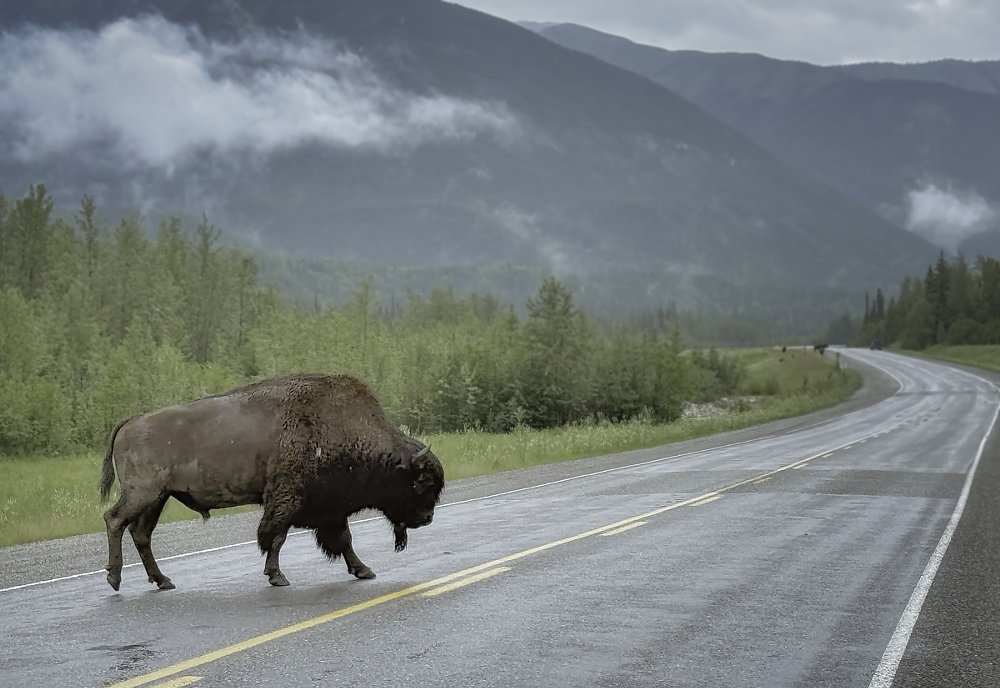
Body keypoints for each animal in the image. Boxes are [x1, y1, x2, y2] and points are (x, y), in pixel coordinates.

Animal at [99, 373, 445, 591]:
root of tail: (132, 421)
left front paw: (363, 570)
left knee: (140, 533)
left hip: (158, 498)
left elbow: (344, 540)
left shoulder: (330, 508)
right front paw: (277, 577)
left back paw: (163, 581)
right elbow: (276, 537)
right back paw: (115, 579)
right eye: (420, 481)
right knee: (114, 520)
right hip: (143, 494)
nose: (427, 518)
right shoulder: (287, 500)